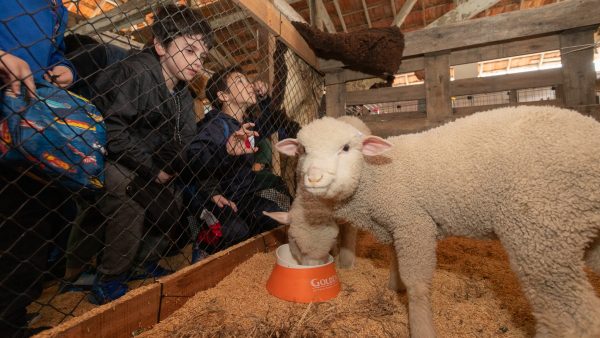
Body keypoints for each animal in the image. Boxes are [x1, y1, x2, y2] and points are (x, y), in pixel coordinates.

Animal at [276, 106, 600, 338]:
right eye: (302, 150)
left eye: (345, 148)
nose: (314, 178)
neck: (374, 176)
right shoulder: (397, 223)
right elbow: (394, 255)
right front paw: (394, 286)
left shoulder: (414, 222)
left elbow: (418, 284)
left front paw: (421, 328)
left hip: (541, 233)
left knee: (569, 320)